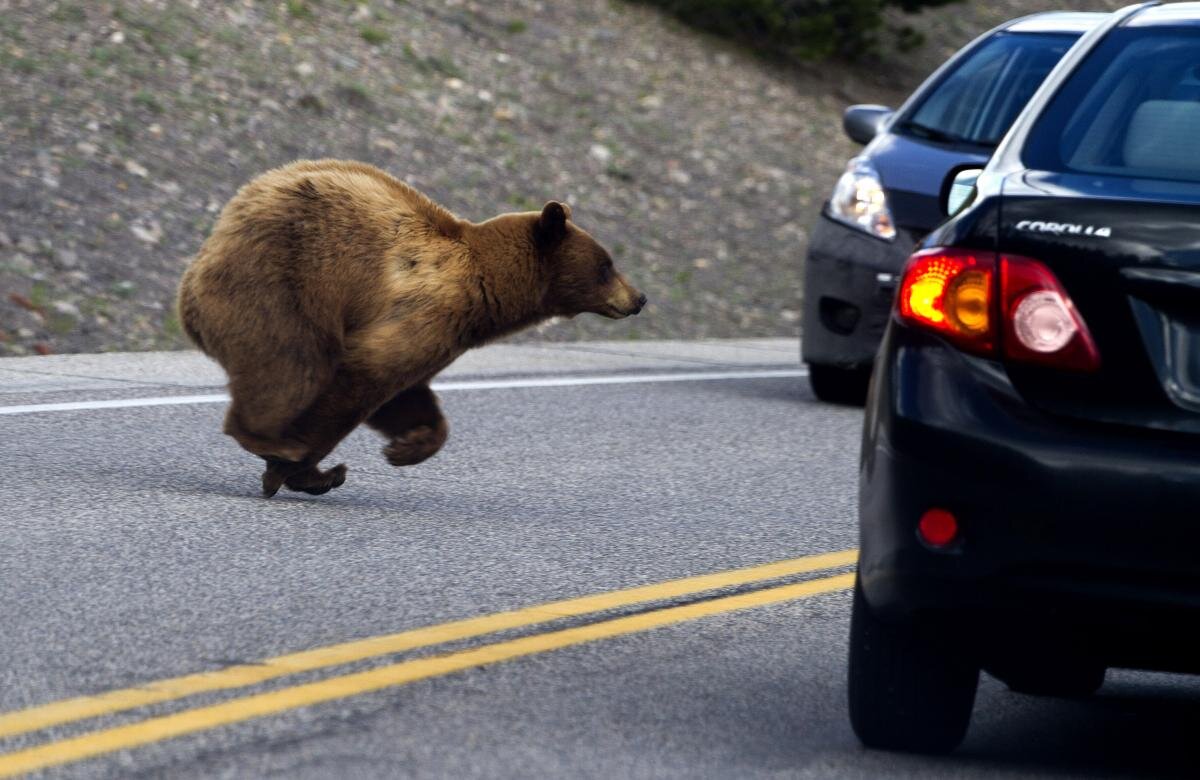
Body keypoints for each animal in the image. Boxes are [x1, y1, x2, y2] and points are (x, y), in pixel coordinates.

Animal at [175, 158, 648, 494]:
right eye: (607, 265)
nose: (639, 298)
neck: (488, 290)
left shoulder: (442, 334)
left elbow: (405, 393)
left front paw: (406, 448)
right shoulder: (429, 312)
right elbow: (363, 376)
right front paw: (306, 468)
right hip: (280, 286)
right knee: (292, 365)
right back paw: (270, 440)